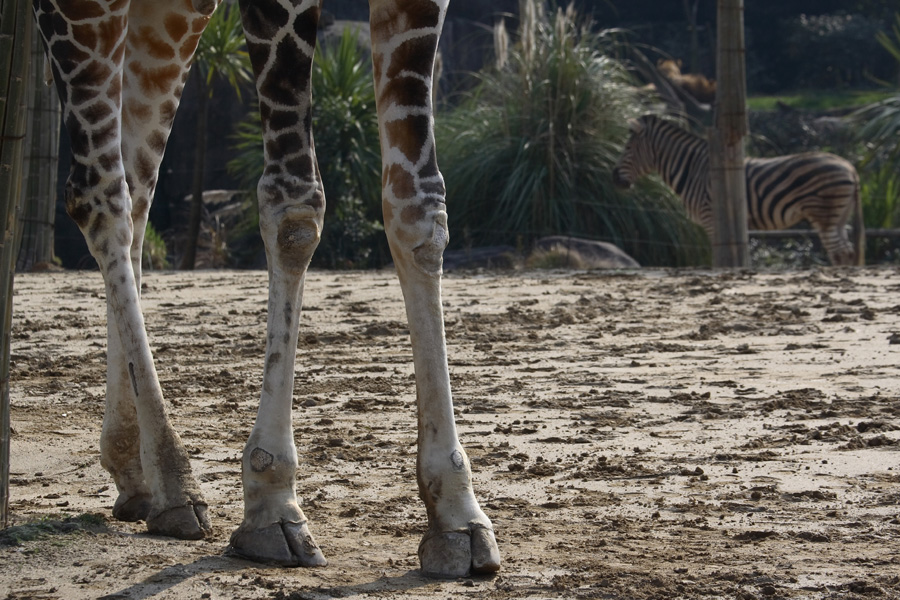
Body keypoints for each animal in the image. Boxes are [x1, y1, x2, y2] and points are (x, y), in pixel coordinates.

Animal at [612, 115, 864, 264]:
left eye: (627, 148)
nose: (614, 179)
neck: (692, 169)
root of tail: (850, 166)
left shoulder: (711, 219)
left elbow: (719, 259)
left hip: (825, 214)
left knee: (840, 253)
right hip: (839, 215)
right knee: (849, 252)